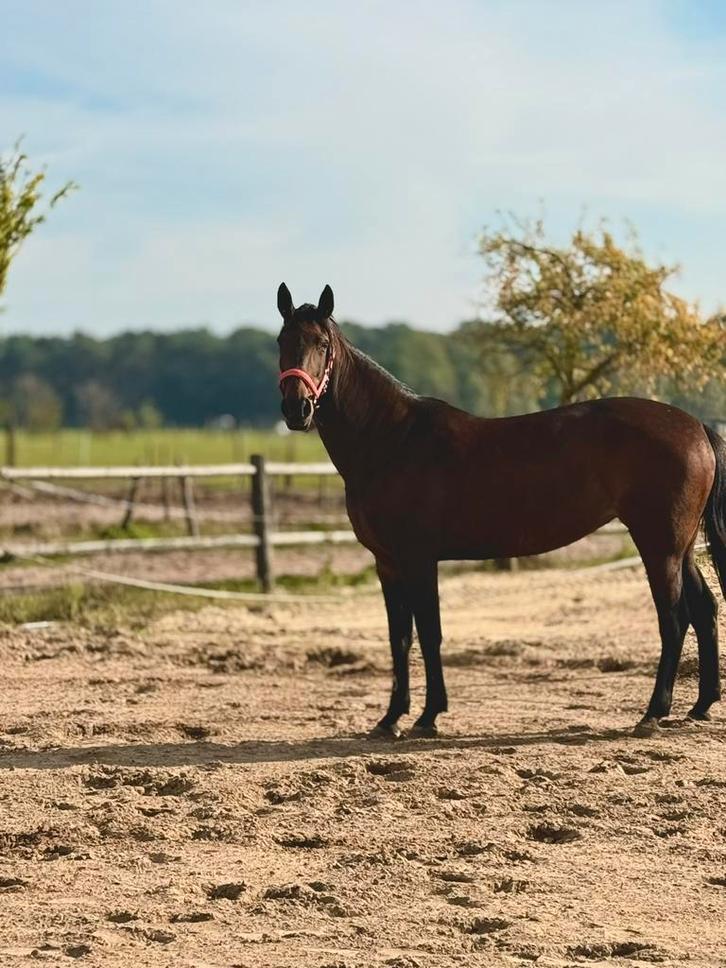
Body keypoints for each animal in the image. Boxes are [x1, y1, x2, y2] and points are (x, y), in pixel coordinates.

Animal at [276, 282, 726, 739]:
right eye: (282, 341)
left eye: (322, 344)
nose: (297, 409)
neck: (391, 439)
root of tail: (695, 426)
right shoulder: (388, 563)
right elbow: (399, 638)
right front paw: (390, 719)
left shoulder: (419, 559)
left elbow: (430, 634)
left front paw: (428, 716)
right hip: (682, 548)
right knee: (705, 609)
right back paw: (701, 705)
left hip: (659, 546)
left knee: (674, 618)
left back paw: (653, 712)